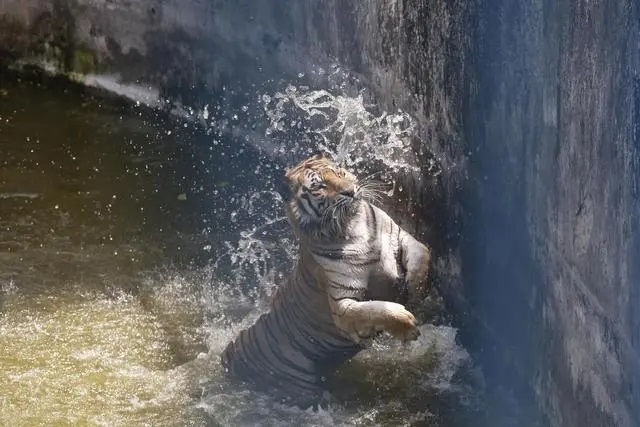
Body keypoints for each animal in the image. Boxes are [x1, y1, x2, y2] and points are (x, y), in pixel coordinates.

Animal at [221, 153, 432, 408]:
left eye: (339, 172)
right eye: (319, 187)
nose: (350, 191)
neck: (352, 226)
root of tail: (228, 359)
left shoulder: (402, 237)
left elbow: (422, 255)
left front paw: (417, 292)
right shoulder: (342, 304)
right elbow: (376, 309)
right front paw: (407, 324)